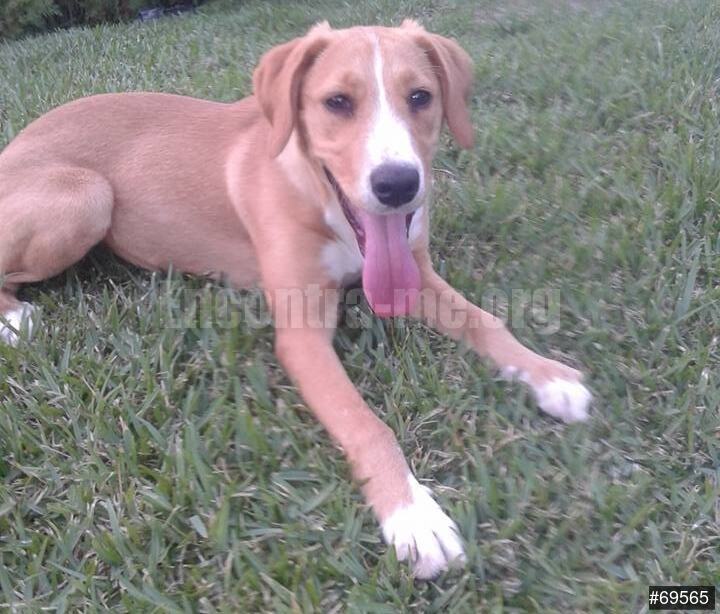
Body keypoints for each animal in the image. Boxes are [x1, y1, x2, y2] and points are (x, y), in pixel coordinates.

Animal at [0, 20, 591, 579]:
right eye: (338, 102)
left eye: (421, 96)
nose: (398, 185)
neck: (325, 204)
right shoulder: (303, 337)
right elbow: (365, 422)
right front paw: (411, 514)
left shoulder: (416, 276)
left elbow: (488, 322)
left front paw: (549, 377)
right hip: (87, 197)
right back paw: (16, 319)